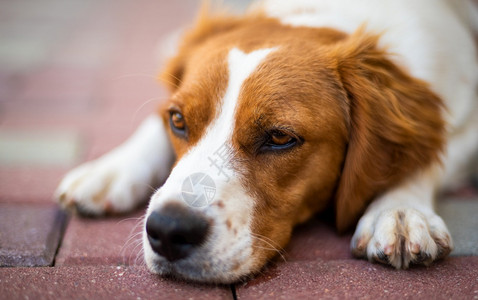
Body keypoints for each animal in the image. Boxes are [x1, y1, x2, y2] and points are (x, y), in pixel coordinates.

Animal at [55, 0, 478, 284]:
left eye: (279, 137)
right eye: (178, 120)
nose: (169, 230)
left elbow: (431, 157)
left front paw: (400, 209)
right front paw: (112, 168)